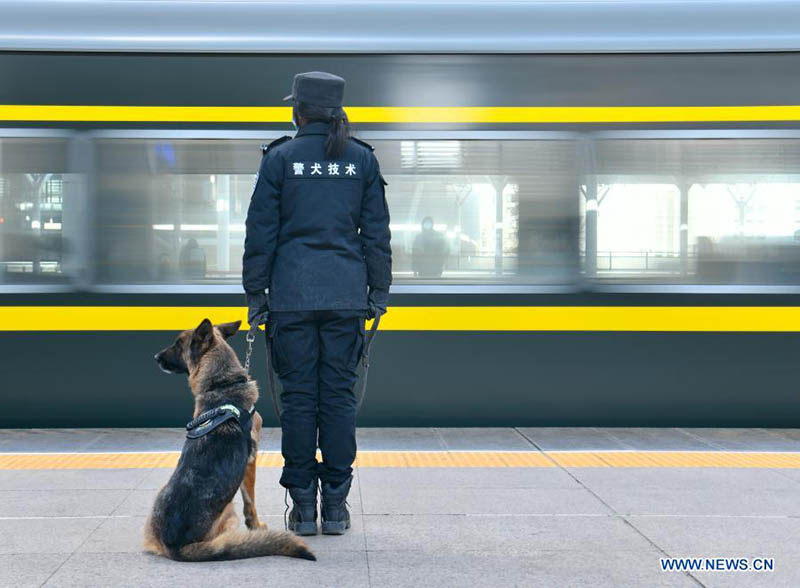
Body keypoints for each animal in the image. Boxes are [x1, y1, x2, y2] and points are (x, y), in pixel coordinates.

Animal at [147, 320, 316, 564]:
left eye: (178, 345)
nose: (155, 357)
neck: (222, 384)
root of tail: (175, 545)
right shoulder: (250, 462)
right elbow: (250, 502)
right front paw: (256, 527)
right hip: (229, 511)